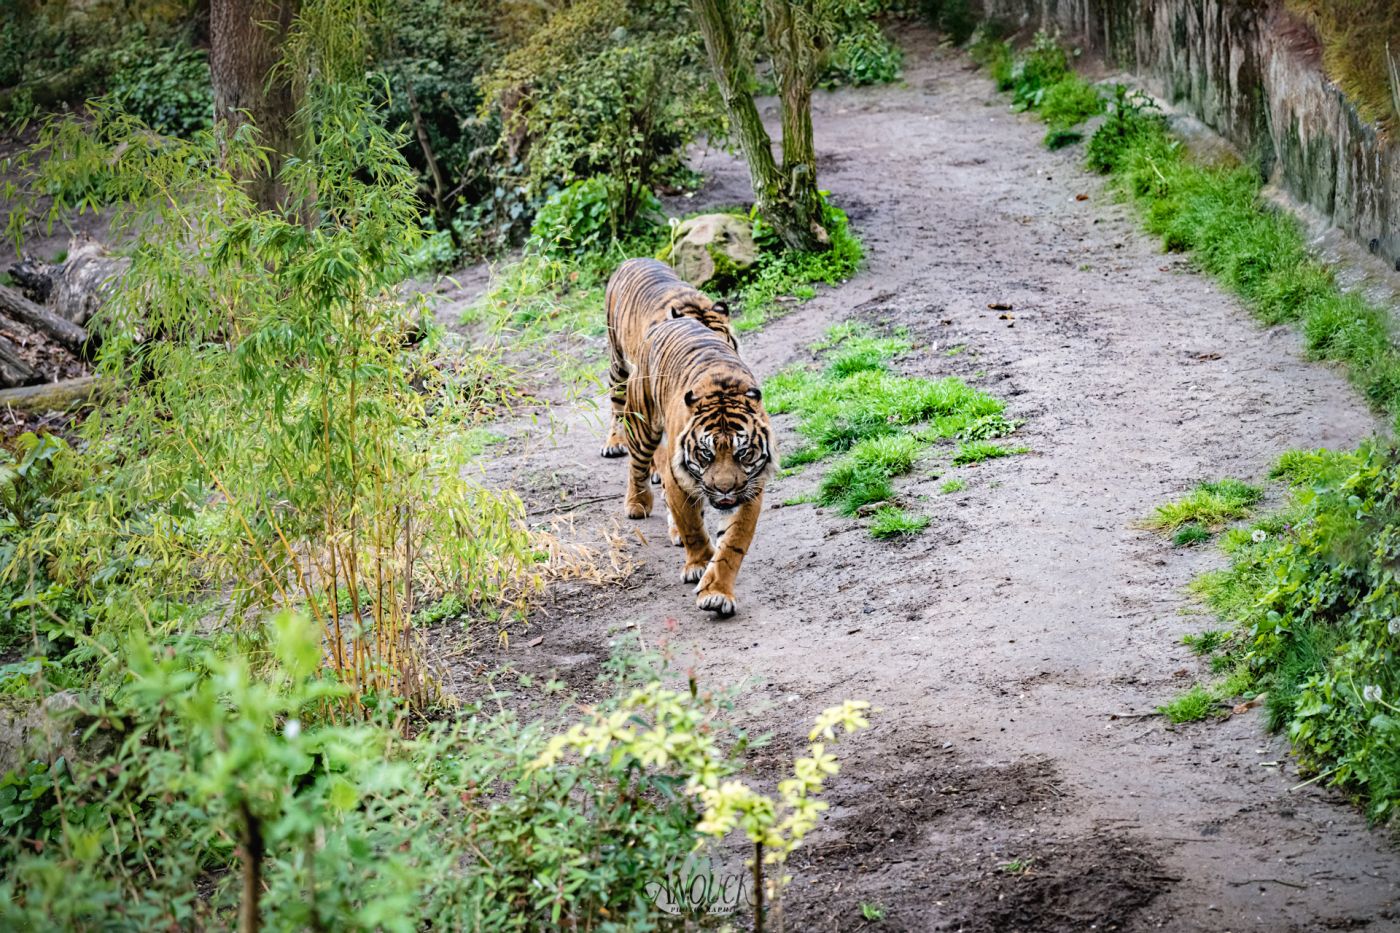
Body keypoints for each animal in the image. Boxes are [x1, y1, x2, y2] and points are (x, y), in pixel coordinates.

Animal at [621, 315, 775, 617]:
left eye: (742, 453)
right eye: (706, 453)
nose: (724, 489)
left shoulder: (750, 491)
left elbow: (733, 544)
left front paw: (716, 593)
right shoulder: (677, 480)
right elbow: (691, 526)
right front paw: (700, 564)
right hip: (641, 424)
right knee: (637, 465)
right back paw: (637, 504)